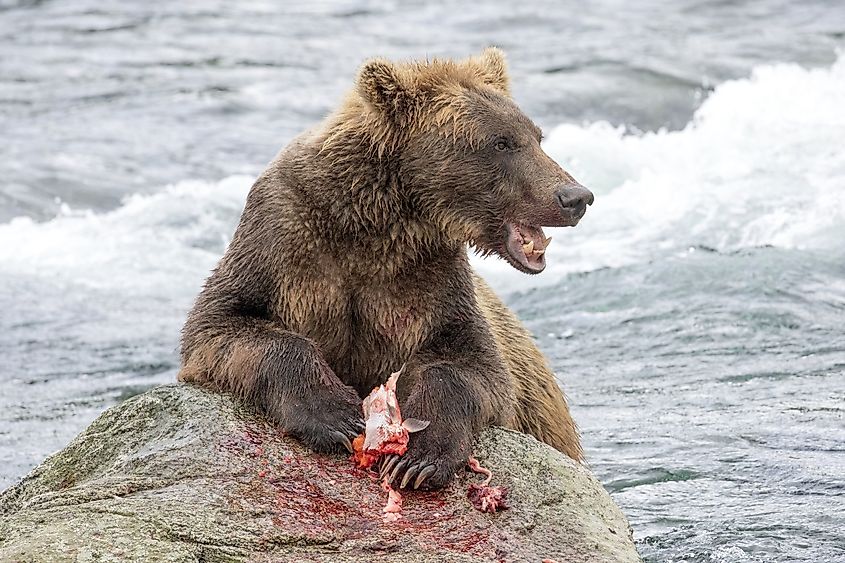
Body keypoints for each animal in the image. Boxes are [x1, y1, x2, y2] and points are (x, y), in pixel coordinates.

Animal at [179, 48, 593, 491]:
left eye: (535, 136)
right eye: (501, 142)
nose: (576, 196)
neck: (380, 222)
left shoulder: (429, 277)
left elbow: (472, 364)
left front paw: (418, 457)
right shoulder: (281, 240)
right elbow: (222, 322)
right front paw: (337, 416)